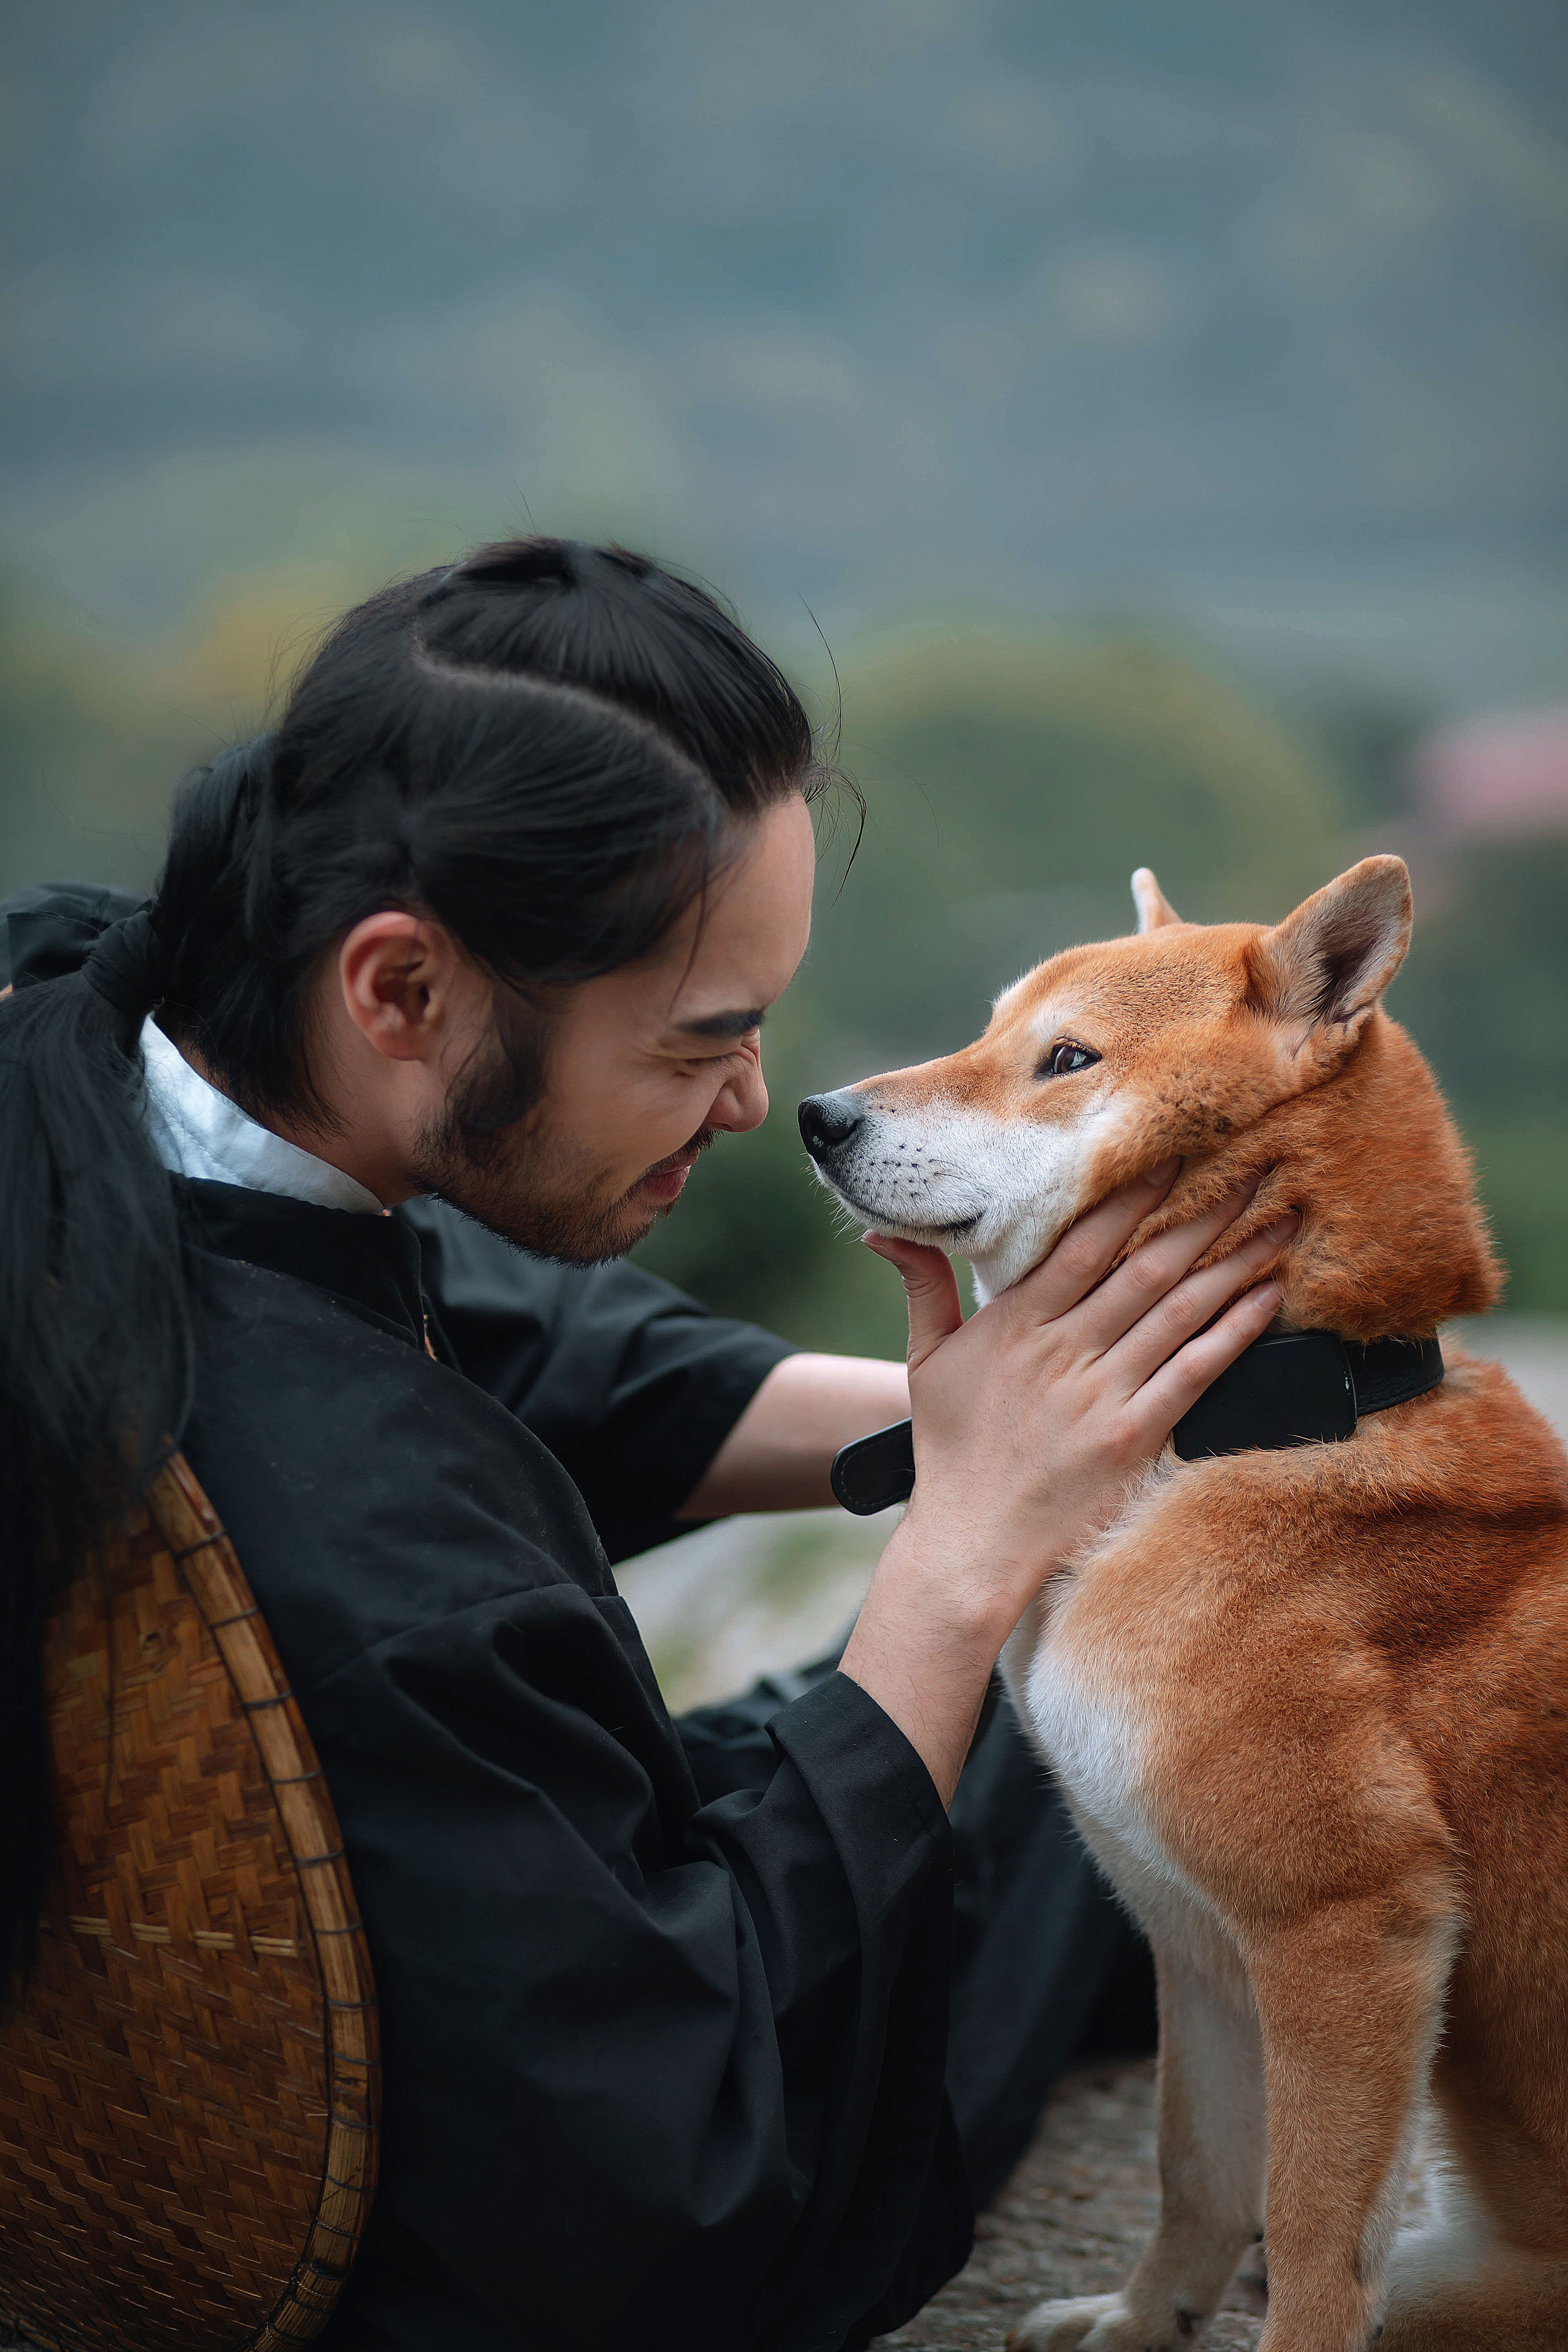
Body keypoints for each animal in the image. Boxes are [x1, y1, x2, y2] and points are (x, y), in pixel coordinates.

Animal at [799, 865, 1568, 2352]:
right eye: (993, 1029)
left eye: (1067, 1059)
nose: (817, 1114)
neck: (1245, 1421)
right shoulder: (1196, 1937)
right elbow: (1199, 2170)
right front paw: (1141, 2321)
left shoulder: (1343, 1928)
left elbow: (1314, 2235)